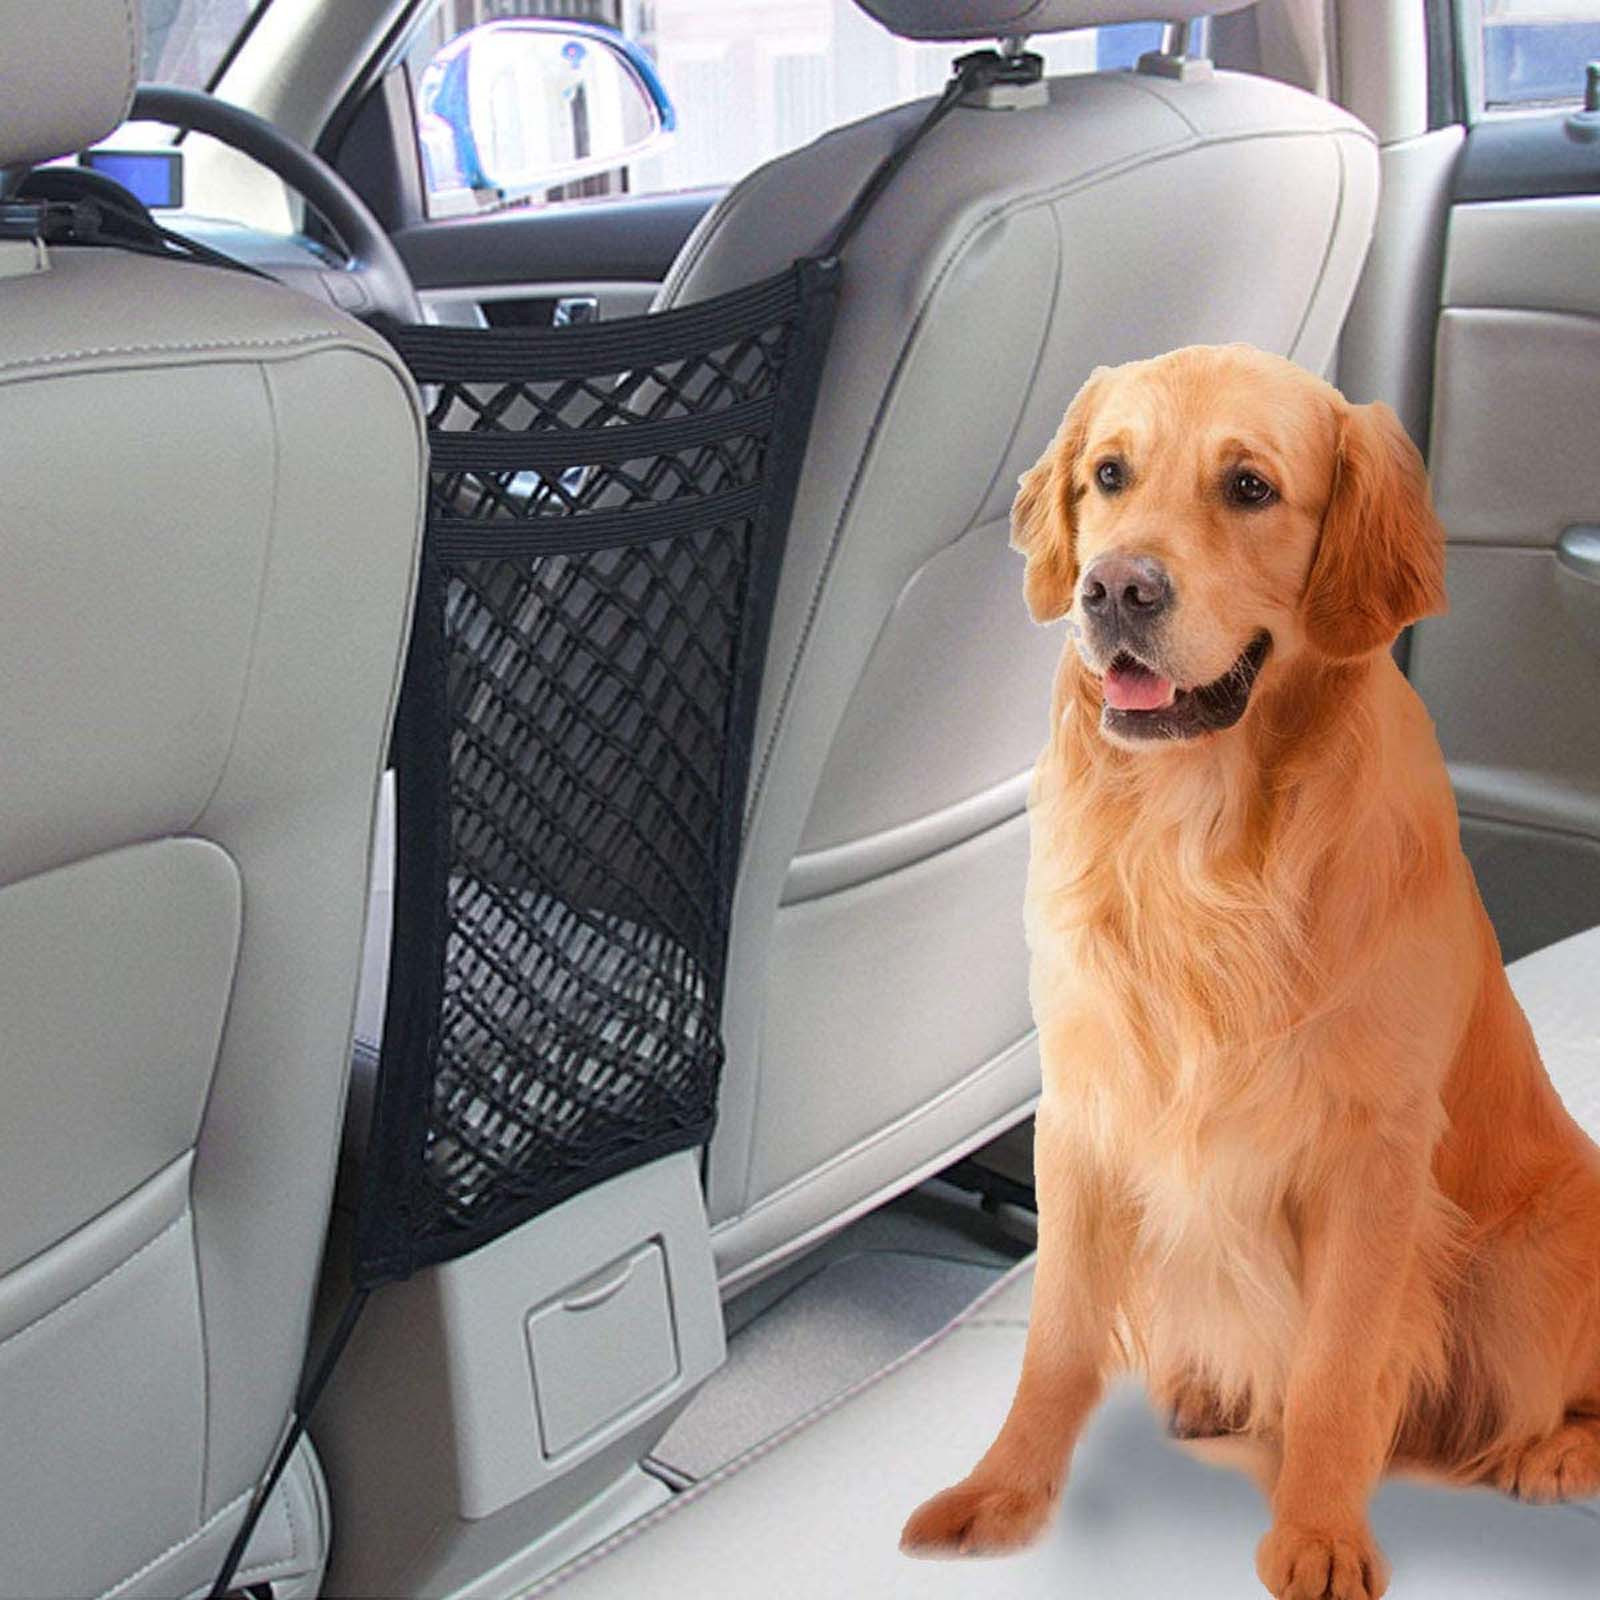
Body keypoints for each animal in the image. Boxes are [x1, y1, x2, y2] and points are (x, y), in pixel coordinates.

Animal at [899, 345, 1600, 1599]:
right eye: (1109, 473)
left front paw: (1318, 1532)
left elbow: (1334, 1364)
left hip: (1526, 1261)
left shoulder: (1371, 1152)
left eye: (1250, 487)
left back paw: (1553, 1453)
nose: (1114, 589)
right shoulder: (1082, 1112)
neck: (1196, 838)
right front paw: (1003, 1493)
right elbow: (1056, 1337)